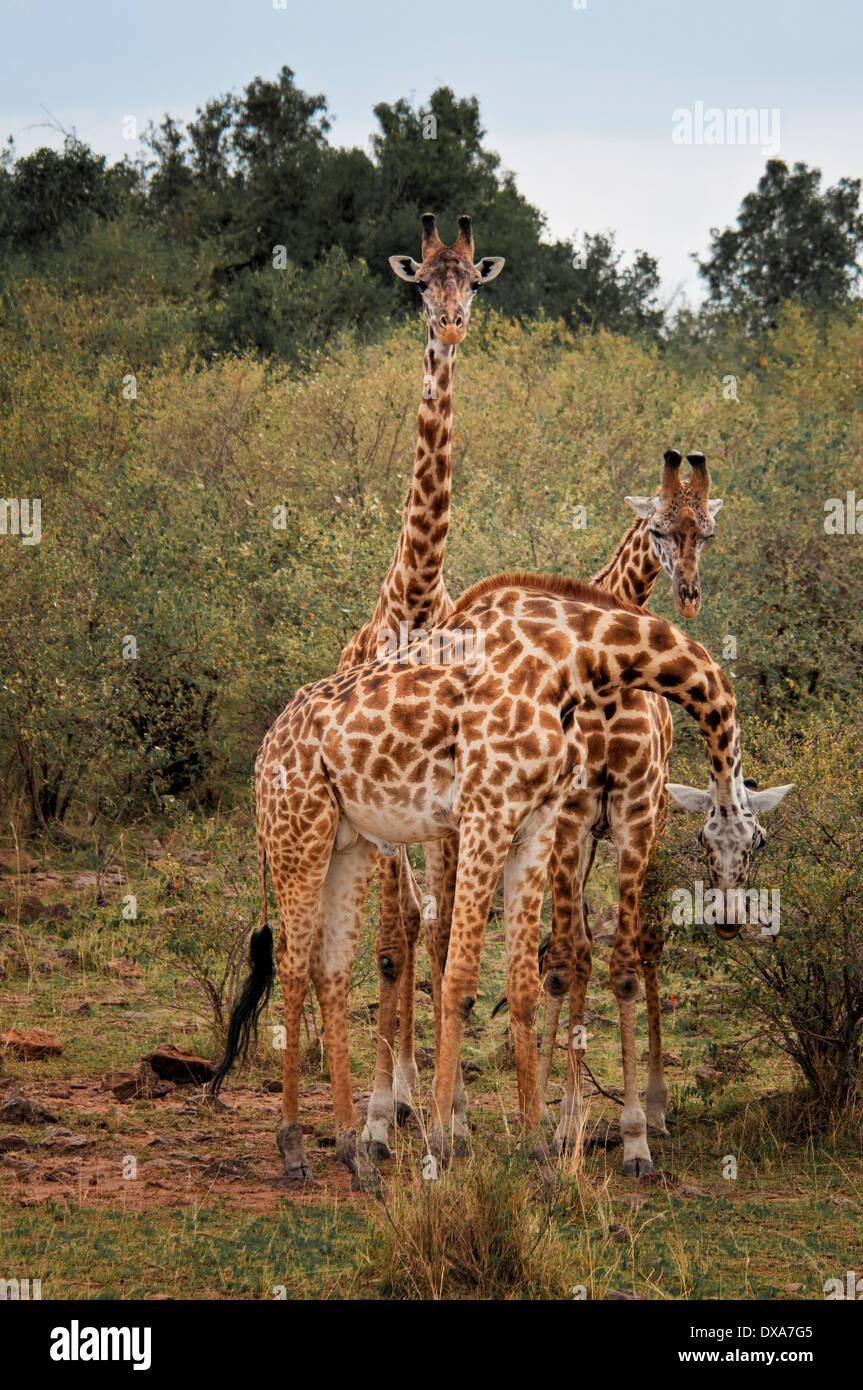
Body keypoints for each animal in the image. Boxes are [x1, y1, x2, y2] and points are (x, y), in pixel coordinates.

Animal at [208, 575, 789, 1184]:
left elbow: (525, 982)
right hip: (298, 832)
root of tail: (265, 746)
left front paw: (538, 1148)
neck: (576, 657)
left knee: (332, 970)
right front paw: (442, 1142)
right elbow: (460, 978)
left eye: (757, 844)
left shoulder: (537, 823)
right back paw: (295, 1147)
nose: (729, 919)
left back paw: (353, 1151)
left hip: (351, 843)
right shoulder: (488, 810)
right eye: (707, 841)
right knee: (293, 965)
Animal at [539, 450, 728, 1167]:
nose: (688, 595)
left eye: (706, 532)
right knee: (562, 951)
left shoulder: (632, 815)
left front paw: (635, 1137)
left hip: (640, 827)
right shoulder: (570, 819)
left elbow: (621, 965)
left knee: (644, 945)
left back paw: (656, 1105)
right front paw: (564, 1121)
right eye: (656, 528)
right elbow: (571, 959)